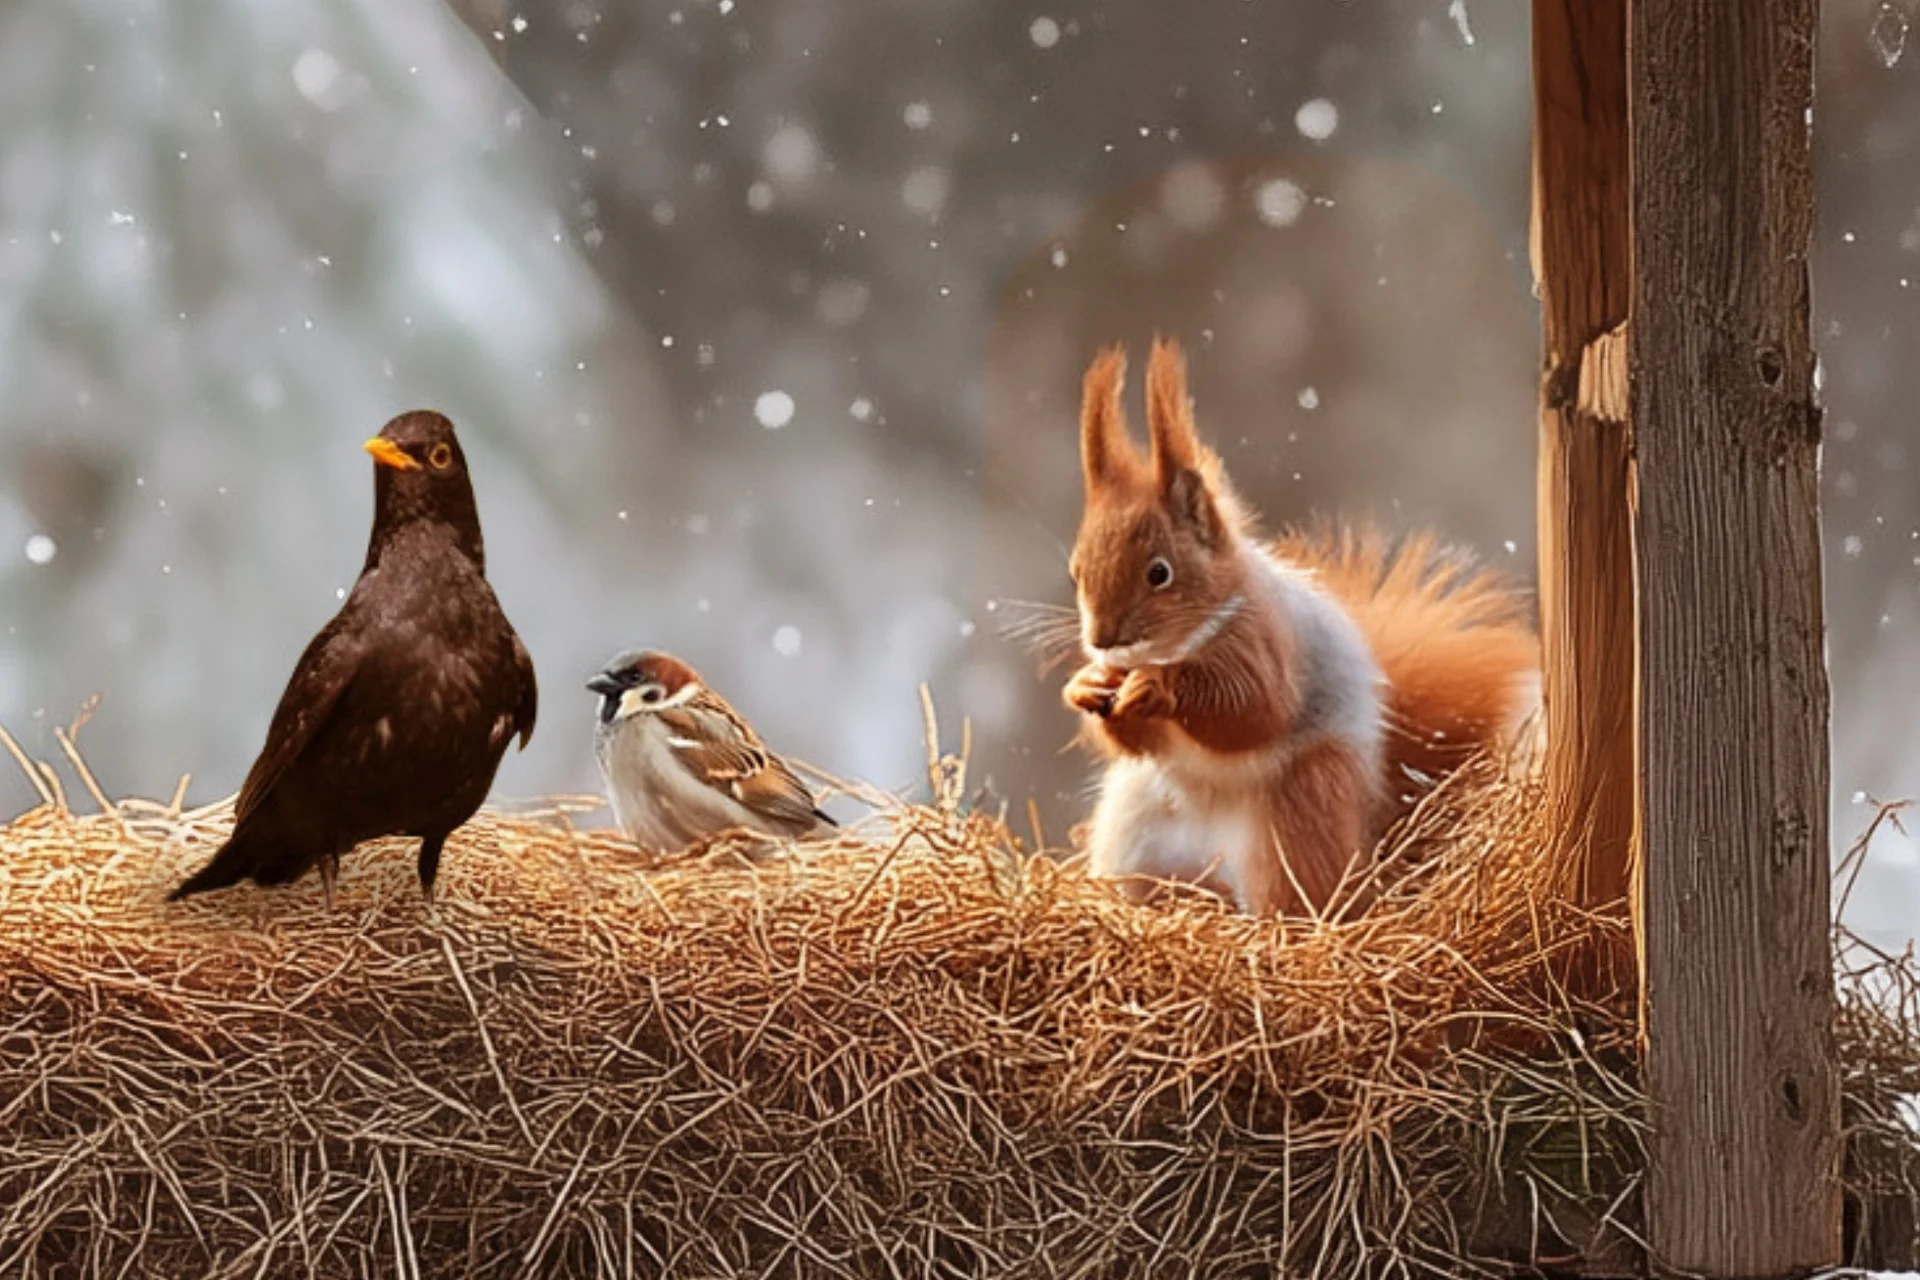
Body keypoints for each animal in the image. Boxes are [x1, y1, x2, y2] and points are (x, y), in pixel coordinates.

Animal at [1061, 338, 1540, 917]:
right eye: (1076, 572)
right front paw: (1086, 686)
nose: (1101, 640)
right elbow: (1130, 740)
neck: (1179, 642)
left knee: (1299, 895)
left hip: (1300, 810)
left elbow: (1252, 709)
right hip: (1135, 828)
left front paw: (1158, 686)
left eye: (1160, 573)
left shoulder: (1267, 642)